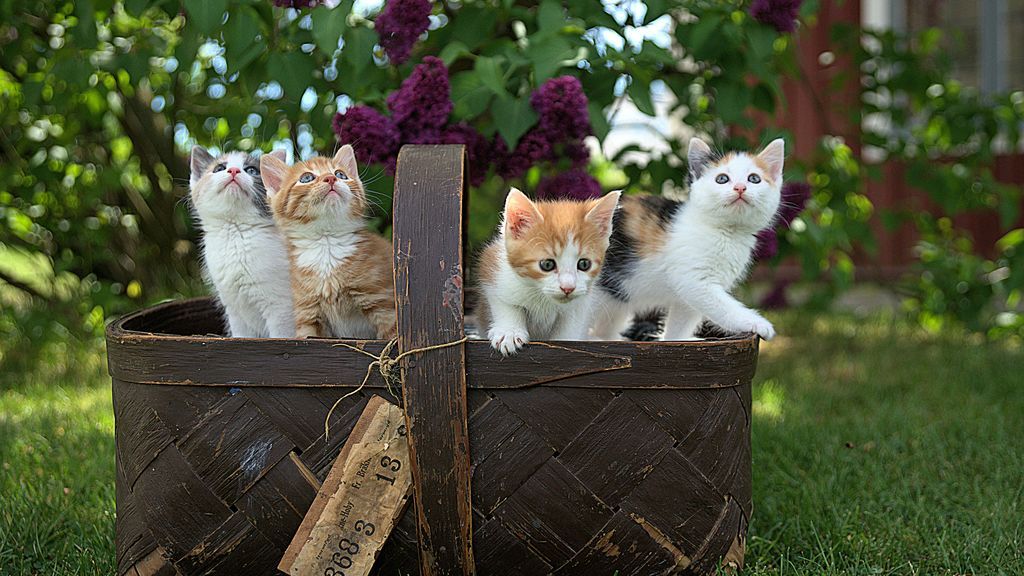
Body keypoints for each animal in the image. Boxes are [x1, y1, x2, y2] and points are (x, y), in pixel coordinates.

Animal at [189, 145, 296, 338]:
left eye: (251, 170)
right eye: (219, 168)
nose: (233, 170)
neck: (236, 233)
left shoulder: (281, 307)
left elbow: (281, 336)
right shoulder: (235, 311)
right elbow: (241, 336)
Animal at [260, 145, 395, 338]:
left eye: (341, 174)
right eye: (306, 178)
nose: (331, 178)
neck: (326, 243)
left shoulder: (383, 304)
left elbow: (392, 337)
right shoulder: (307, 314)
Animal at [475, 188, 618, 352]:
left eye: (584, 264)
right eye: (547, 265)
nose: (568, 288)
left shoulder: (581, 302)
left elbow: (571, 326)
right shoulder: (493, 268)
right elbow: (505, 303)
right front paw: (509, 332)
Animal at [585, 136, 782, 338]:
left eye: (754, 179)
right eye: (722, 179)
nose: (740, 188)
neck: (726, 232)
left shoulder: (686, 298)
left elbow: (680, 325)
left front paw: (672, 340)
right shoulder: (694, 281)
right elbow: (724, 307)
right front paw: (756, 323)